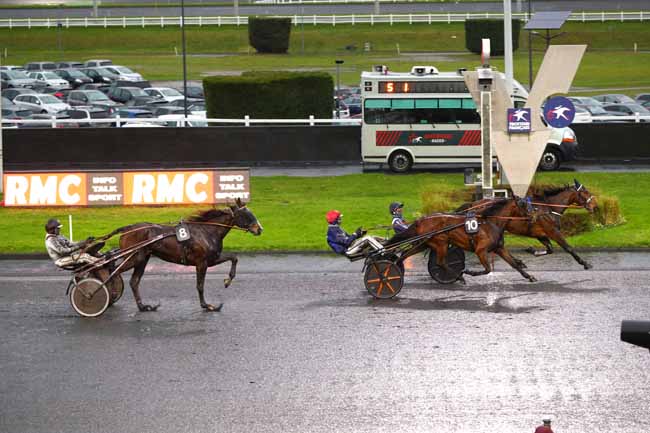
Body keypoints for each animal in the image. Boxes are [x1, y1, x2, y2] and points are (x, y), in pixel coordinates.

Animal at [110, 199, 262, 310]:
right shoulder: (201, 263)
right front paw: (207, 305)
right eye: (246, 215)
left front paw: (227, 281)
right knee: (114, 272)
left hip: (142, 259)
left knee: (134, 281)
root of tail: (127, 228)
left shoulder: (212, 259)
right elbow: (200, 285)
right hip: (134, 258)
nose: (259, 229)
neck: (207, 231)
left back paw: (143, 306)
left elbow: (234, 258)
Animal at [388, 203, 536, 284]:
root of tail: (421, 220)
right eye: (523, 205)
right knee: (440, 263)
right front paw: (469, 272)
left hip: (424, 243)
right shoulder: (480, 251)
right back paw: (459, 277)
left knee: (404, 255)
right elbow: (487, 269)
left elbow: (514, 264)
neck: (490, 223)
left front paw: (529, 276)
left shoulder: (499, 248)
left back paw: (395, 266)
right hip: (441, 243)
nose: (533, 216)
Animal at [454, 177, 596, 268]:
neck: (548, 207)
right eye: (585, 192)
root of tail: (474, 204)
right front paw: (585, 263)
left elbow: (550, 249)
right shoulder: (552, 231)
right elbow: (568, 247)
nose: (594, 206)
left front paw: (531, 250)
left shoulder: (540, 234)